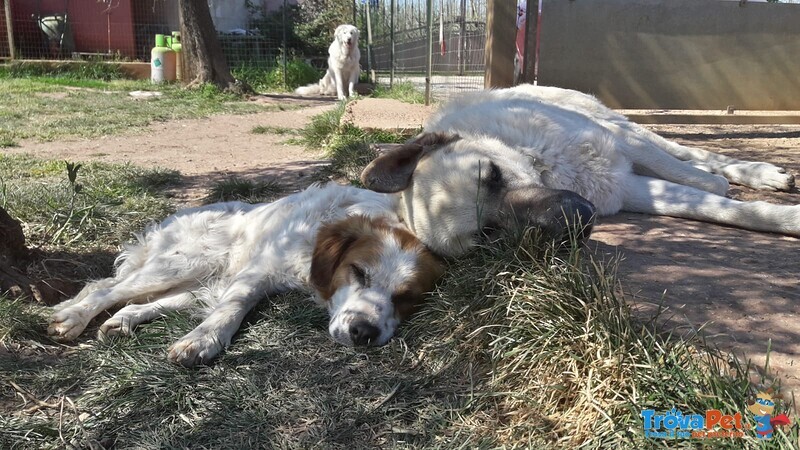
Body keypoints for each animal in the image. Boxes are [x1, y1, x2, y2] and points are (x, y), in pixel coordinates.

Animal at [48, 182, 444, 366]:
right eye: (358, 272)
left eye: (407, 298)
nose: (363, 332)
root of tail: (175, 217)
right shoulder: (257, 273)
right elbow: (231, 310)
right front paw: (201, 341)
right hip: (184, 262)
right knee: (106, 289)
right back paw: (71, 317)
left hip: (203, 280)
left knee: (143, 302)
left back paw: (122, 321)